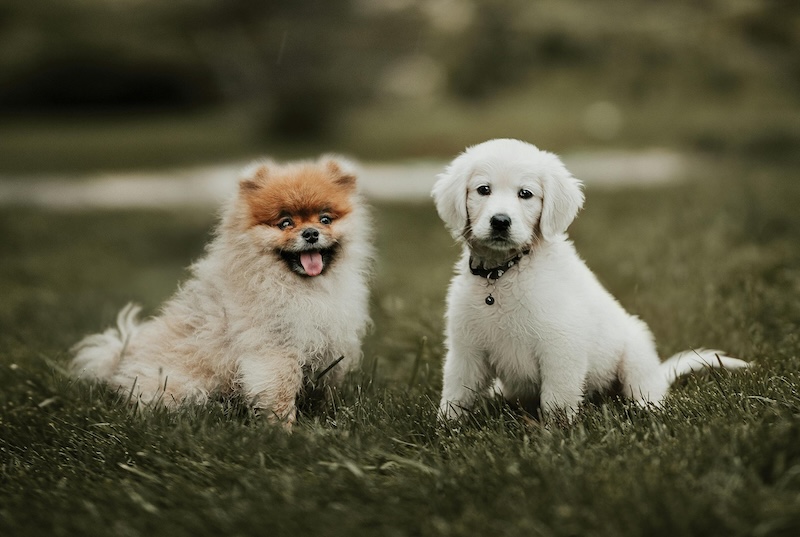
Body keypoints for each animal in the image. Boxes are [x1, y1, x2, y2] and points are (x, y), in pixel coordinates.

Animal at [72, 156, 372, 428]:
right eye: (285, 223)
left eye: (325, 219)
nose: (310, 233)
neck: (299, 287)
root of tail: (123, 360)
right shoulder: (274, 348)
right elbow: (280, 390)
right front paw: (283, 430)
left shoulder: (330, 344)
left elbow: (326, 386)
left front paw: (326, 416)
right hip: (181, 387)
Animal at [434, 139, 748, 422]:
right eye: (483, 190)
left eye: (525, 194)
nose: (500, 221)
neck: (502, 274)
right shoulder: (465, 350)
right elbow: (455, 395)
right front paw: (446, 430)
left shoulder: (561, 344)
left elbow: (557, 400)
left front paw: (556, 434)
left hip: (635, 351)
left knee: (646, 390)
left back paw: (645, 409)